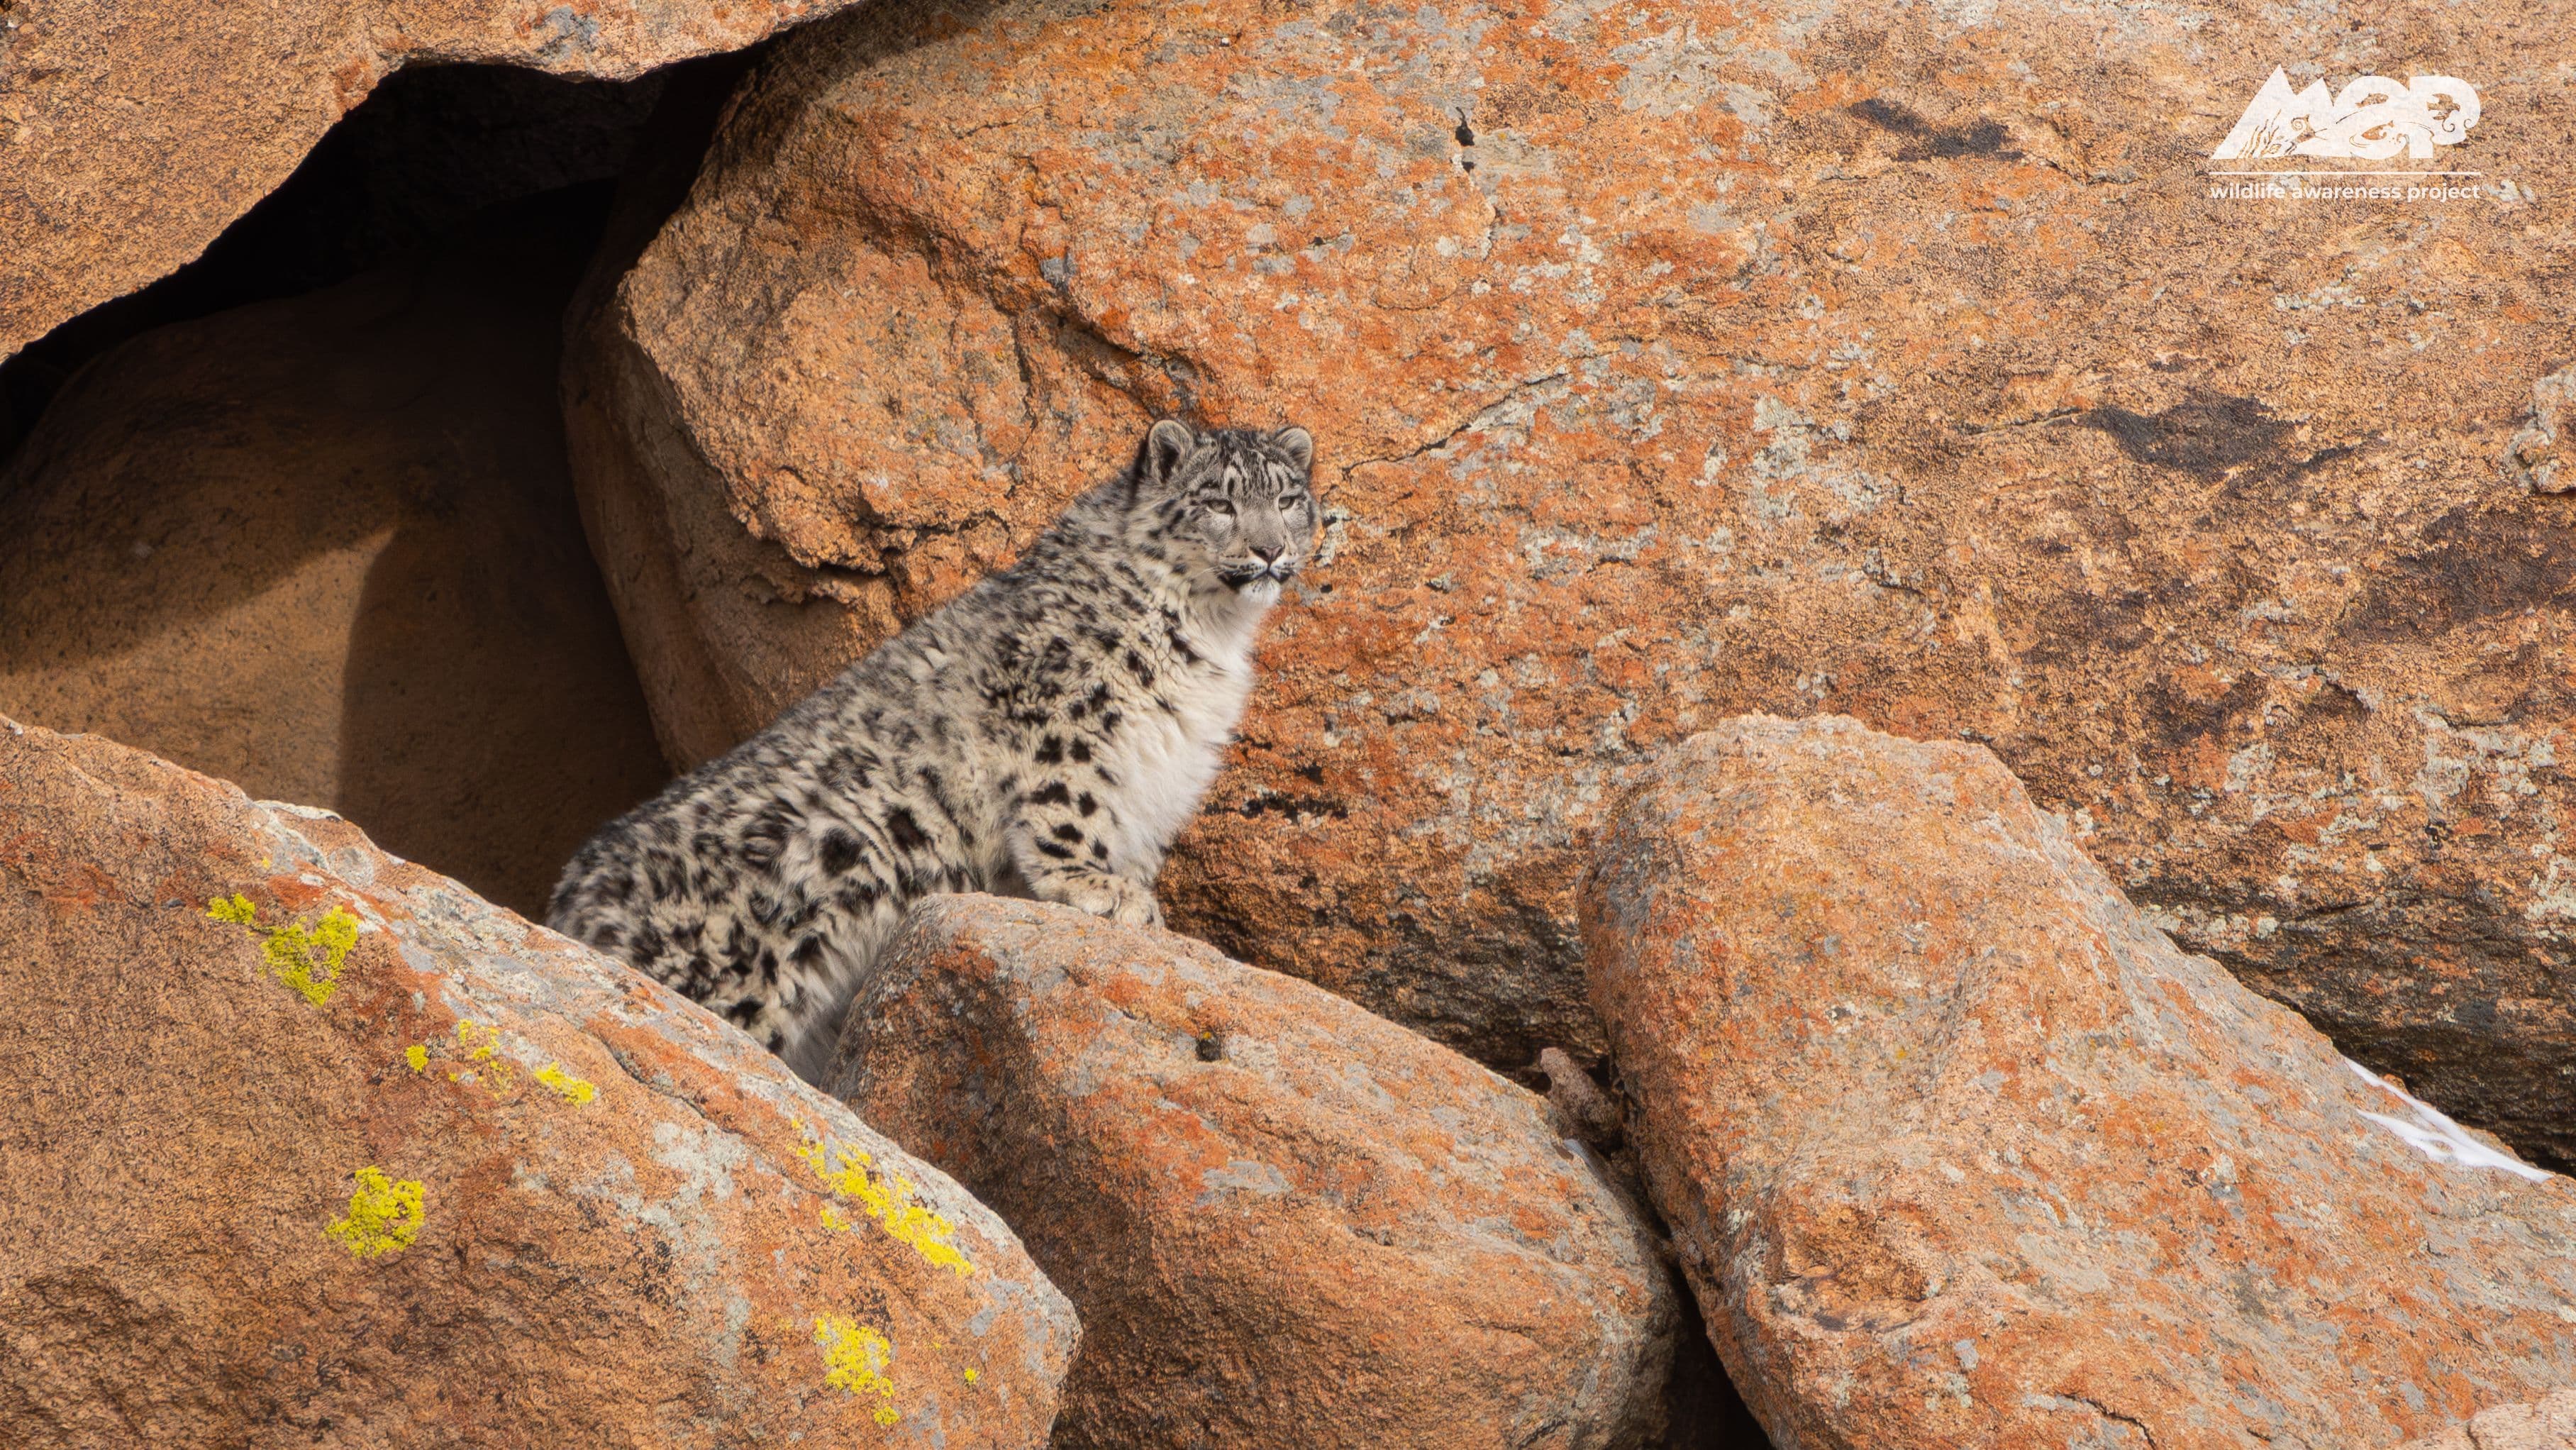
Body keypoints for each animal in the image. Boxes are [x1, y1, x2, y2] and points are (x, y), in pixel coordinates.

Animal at [546, 420, 1319, 1082]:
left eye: (1287, 501)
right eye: (1217, 502)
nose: (1269, 551)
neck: (1212, 636)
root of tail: (568, 904)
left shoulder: (1165, 778)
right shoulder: (1062, 713)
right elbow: (1067, 805)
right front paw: (1097, 888)